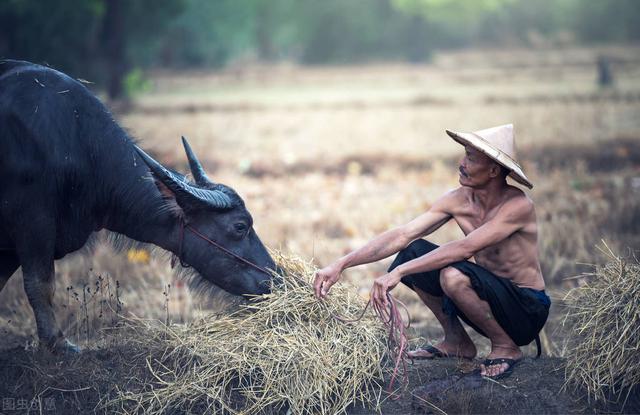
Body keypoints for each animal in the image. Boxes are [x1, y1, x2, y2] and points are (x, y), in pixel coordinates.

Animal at [0, 60, 276, 354]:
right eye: (240, 226)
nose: (276, 277)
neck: (81, 146)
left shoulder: (10, 246)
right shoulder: (32, 223)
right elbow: (40, 284)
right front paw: (58, 343)